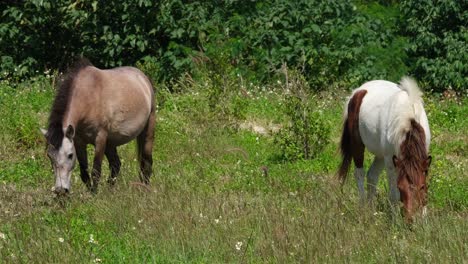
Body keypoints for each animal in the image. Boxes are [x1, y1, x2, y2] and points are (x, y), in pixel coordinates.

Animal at [42, 58, 155, 195]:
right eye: (50, 156)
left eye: (70, 155)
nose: (60, 190)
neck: (88, 97)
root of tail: (142, 77)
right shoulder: (79, 142)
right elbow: (84, 173)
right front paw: (92, 193)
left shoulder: (100, 139)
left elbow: (95, 171)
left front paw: (95, 195)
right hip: (110, 143)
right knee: (116, 165)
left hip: (147, 132)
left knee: (146, 163)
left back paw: (145, 189)